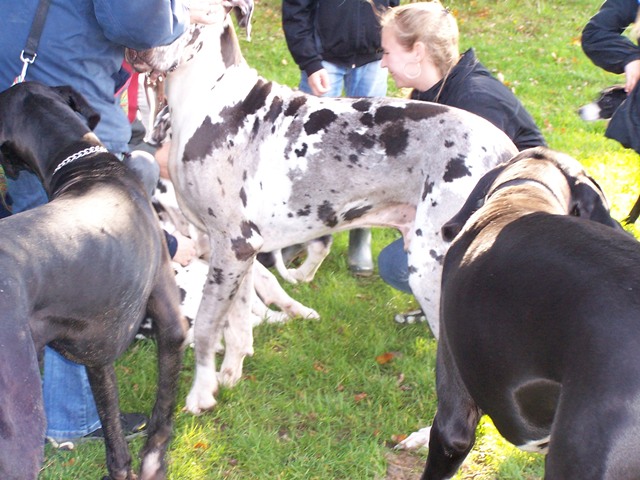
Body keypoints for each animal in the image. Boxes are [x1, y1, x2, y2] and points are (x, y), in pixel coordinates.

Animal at [0, 81, 187, 480]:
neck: (85, 165)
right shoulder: (171, 320)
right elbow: (163, 410)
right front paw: (154, 462)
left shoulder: (96, 352)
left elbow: (111, 425)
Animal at [125, 0, 518, 415]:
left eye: (188, 14)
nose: (136, 45)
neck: (211, 97)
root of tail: (509, 155)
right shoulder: (235, 252)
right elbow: (237, 323)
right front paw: (230, 376)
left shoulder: (233, 244)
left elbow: (204, 325)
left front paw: (201, 392)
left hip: (430, 270)